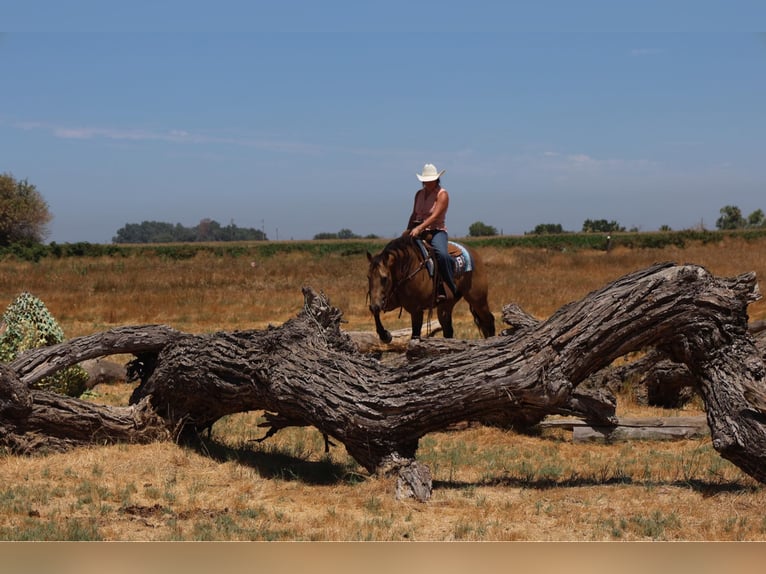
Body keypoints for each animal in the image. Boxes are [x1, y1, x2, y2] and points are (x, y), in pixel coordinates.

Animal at [368, 234, 498, 342]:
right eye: (368, 277)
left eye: (384, 278)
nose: (375, 304)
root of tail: (473, 253)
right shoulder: (389, 300)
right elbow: (376, 312)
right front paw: (384, 335)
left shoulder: (416, 309)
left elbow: (415, 334)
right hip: (446, 305)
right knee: (449, 330)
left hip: (477, 299)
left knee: (489, 320)